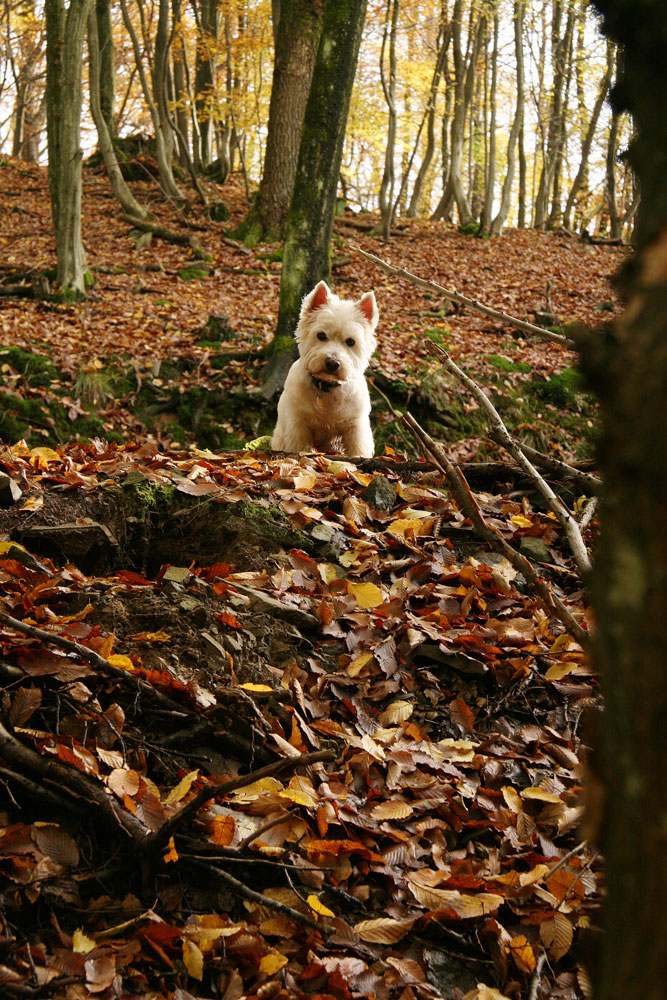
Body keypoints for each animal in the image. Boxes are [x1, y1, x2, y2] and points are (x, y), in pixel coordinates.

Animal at [268, 278, 378, 458]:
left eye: (351, 341)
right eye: (321, 335)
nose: (332, 363)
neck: (327, 389)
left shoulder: (355, 425)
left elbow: (357, 449)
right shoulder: (298, 424)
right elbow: (299, 447)